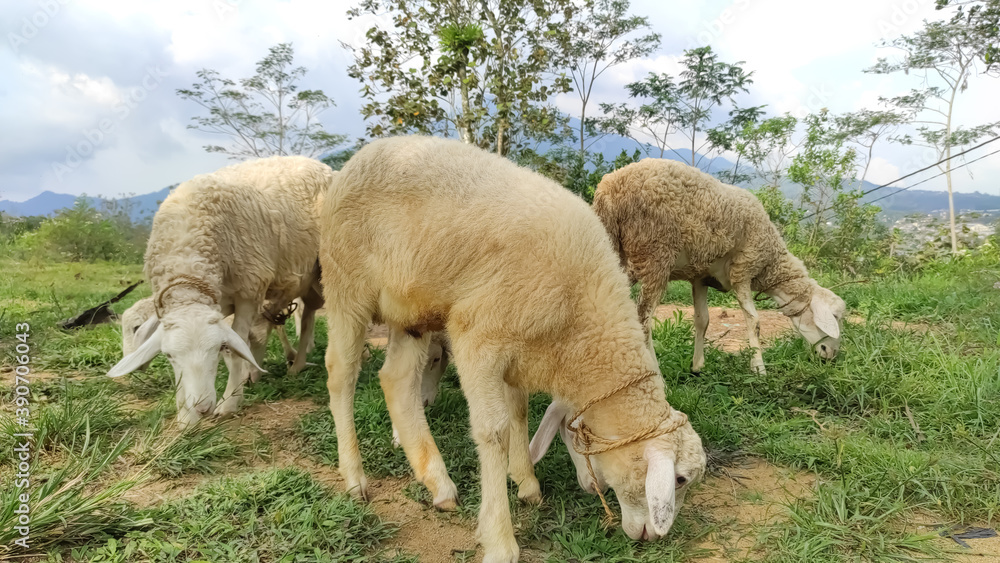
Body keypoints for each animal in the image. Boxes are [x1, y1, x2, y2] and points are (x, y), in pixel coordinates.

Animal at [106, 156, 331, 427]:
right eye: (169, 356)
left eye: (216, 349)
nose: (203, 407)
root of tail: (312, 162)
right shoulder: (216, 303)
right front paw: (186, 416)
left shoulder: (248, 292)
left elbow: (237, 349)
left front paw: (230, 402)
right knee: (304, 314)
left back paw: (301, 365)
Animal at [318, 136, 706, 563]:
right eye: (680, 479)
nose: (653, 538)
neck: (581, 317)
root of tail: (362, 156)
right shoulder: (477, 337)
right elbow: (495, 432)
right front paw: (500, 539)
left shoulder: (521, 351)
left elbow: (519, 413)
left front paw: (526, 481)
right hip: (346, 283)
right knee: (341, 375)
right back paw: (354, 476)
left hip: (412, 310)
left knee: (397, 382)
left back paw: (437, 482)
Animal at [592, 158, 846, 375]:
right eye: (834, 316)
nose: (831, 355)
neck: (769, 263)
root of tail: (610, 187)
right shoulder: (743, 270)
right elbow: (754, 322)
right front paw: (759, 368)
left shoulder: (700, 277)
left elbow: (702, 320)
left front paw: (697, 366)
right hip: (655, 253)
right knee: (642, 320)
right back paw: (657, 377)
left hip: (618, 252)